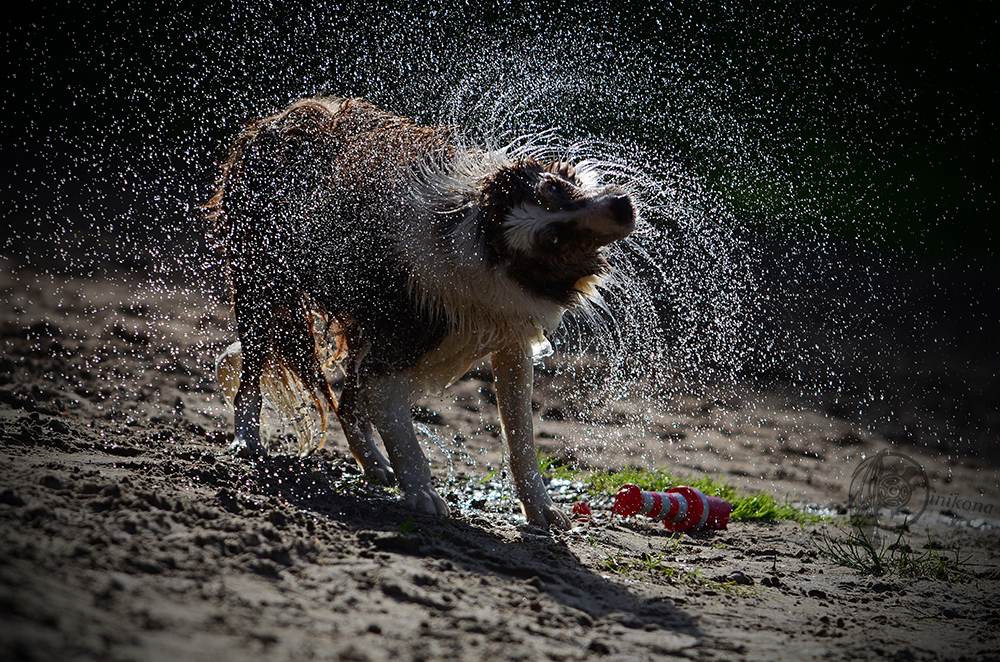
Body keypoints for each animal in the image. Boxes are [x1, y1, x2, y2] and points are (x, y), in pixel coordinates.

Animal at [207, 98, 636, 532]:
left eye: (555, 187)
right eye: (552, 240)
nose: (621, 206)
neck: (475, 236)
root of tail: (273, 119)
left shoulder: (511, 341)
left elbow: (521, 441)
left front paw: (540, 509)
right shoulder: (396, 355)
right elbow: (406, 440)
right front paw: (422, 493)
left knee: (346, 404)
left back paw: (374, 465)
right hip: (261, 289)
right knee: (252, 381)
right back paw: (247, 440)